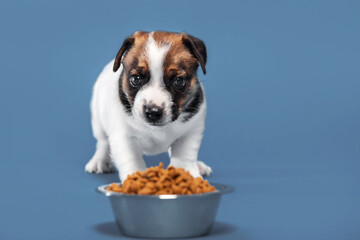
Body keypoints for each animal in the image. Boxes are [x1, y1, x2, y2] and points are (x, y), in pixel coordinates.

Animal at [86, 31, 212, 181]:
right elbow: (132, 160)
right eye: (136, 79)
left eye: (179, 81)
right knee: (103, 142)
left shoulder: (191, 131)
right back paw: (99, 161)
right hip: (98, 121)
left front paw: (187, 174)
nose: (153, 111)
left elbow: (184, 154)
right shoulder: (123, 137)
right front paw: (136, 179)